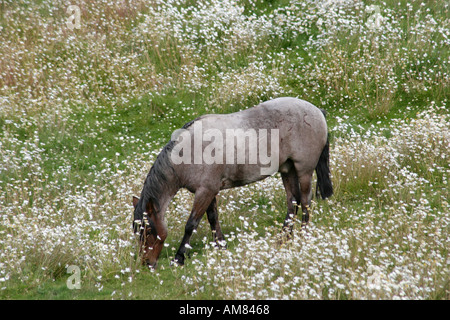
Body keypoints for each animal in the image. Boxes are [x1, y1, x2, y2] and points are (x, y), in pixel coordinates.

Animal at [132, 97, 332, 268]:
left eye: (147, 231)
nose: (146, 263)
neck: (190, 150)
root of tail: (317, 111)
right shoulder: (208, 191)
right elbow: (213, 218)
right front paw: (221, 245)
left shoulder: (205, 191)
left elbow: (191, 224)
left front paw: (179, 258)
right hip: (288, 170)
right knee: (293, 202)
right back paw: (284, 238)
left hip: (304, 171)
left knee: (305, 201)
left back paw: (303, 236)